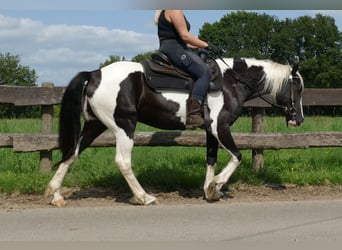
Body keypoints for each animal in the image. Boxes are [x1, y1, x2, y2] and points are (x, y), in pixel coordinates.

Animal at [44, 53, 304, 206]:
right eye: (298, 87)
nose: (299, 119)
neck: (232, 82)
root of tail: (95, 73)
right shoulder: (220, 127)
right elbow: (236, 156)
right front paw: (216, 185)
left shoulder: (210, 131)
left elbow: (211, 159)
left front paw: (209, 190)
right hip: (124, 126)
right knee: (122, 162)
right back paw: (144, 197)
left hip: (95, 125)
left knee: (71, 154)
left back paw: (55, 194)